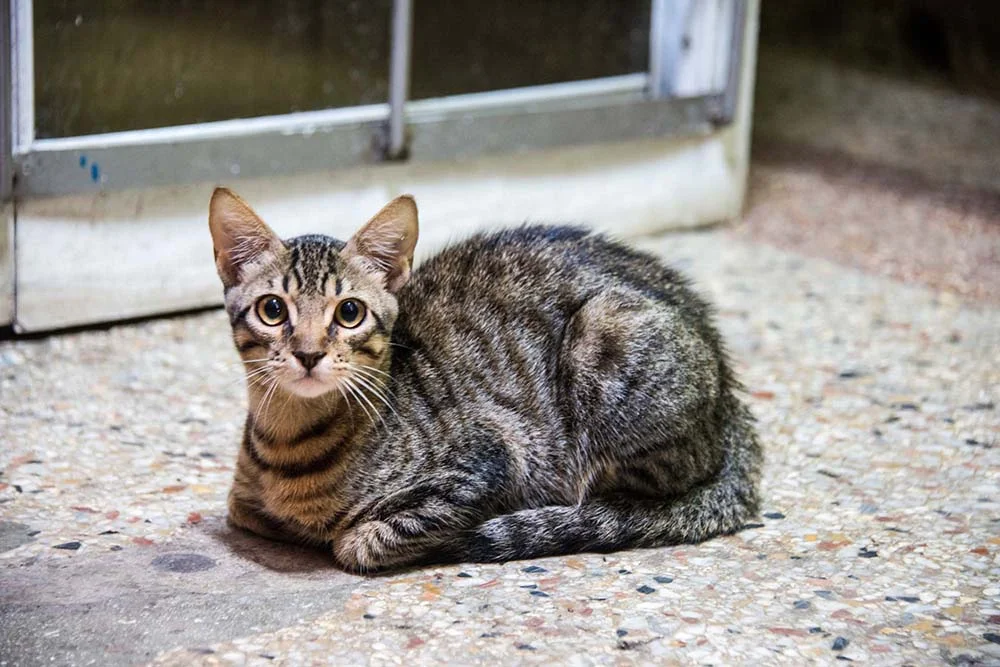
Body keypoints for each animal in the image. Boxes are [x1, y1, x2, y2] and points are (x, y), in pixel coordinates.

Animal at [207, 188, 760, 576]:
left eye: (349, 313)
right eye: (273, 309)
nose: (308, 353)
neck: (289, 442)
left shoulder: (497, 455)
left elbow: (361, 540)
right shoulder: (244, 502)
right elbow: (243, 509)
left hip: (606, 335)